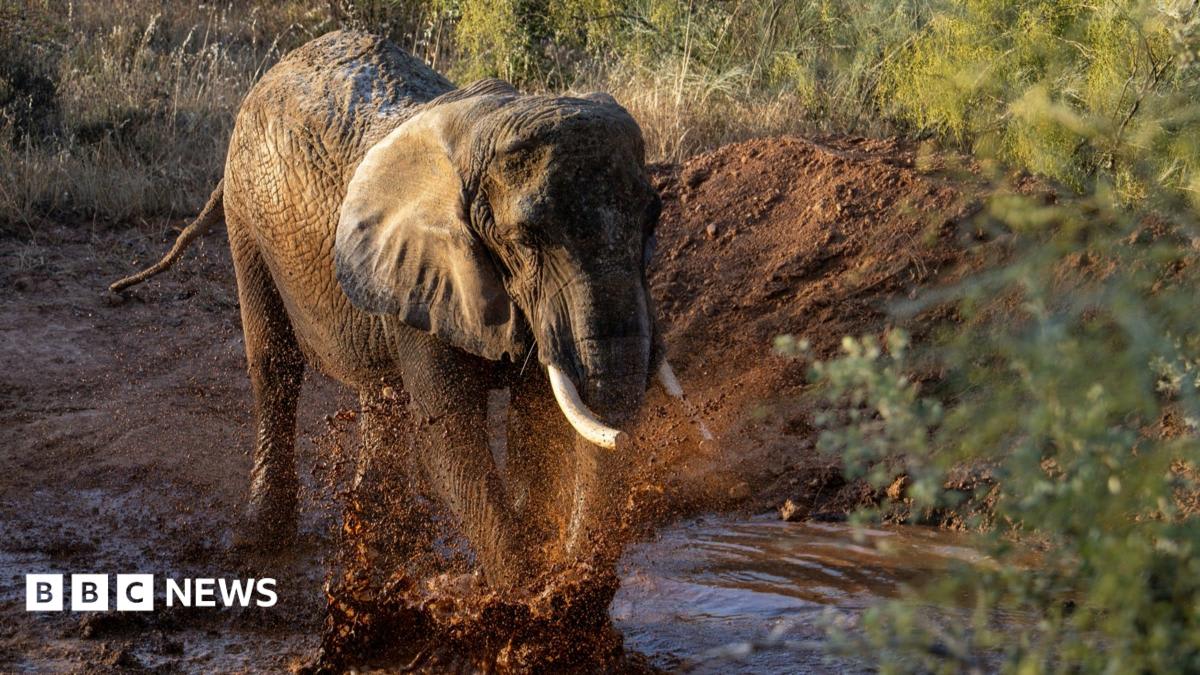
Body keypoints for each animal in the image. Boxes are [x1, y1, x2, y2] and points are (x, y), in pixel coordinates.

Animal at [111, 30, 708, 589]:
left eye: (653, 218)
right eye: (525, 240)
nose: (630, 436)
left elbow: (536, 422)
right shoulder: (429, 268)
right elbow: (451, 435)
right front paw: (526, 605)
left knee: (382, 393)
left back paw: (378, 538)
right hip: (247, 217)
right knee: (275, 365)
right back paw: (263, 539)